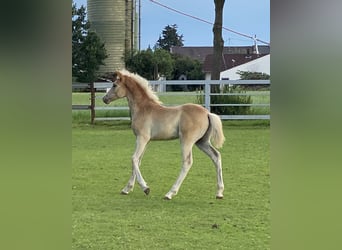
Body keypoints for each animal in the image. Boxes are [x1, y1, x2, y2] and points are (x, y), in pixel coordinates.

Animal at [102, 69, 224, 200]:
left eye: (114, 85)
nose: (104, 99)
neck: (143, 108)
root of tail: (207, 113)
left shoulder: (142, 138)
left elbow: (134, 159)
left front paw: (145, 188)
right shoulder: (146, 141)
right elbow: (138, 161)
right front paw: (127, 189)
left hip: (187, 141)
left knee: (187, 162)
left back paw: (170, 193)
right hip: (202, 142)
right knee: (216, 156)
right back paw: (219, 192)